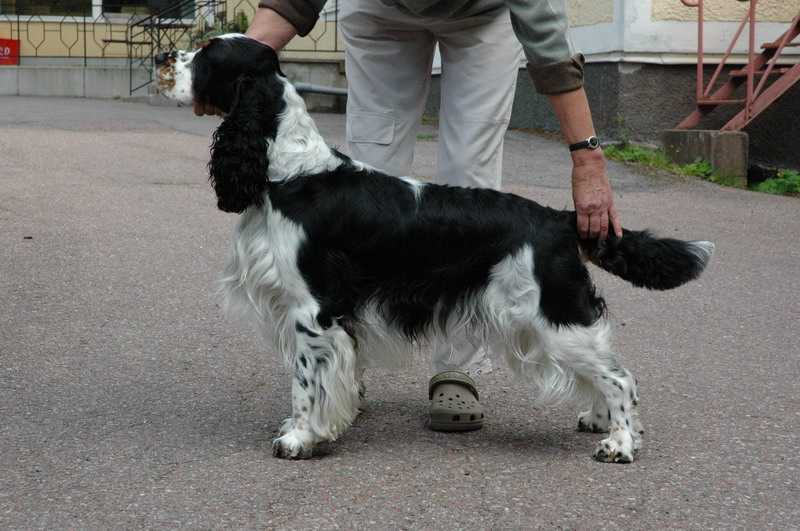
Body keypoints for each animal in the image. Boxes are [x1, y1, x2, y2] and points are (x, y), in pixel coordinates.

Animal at [155, 35, 712, 464]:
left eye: (207, 55)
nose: (161, 56)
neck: (289, 172)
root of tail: (560, 218)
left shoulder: (313, 309)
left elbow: (305, 380)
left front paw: (299, 438)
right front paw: (325, 424)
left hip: (550, 312)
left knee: (620, 377)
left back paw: (620, 444)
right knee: (603, 372)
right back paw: (597, 421)